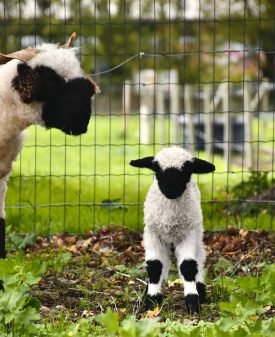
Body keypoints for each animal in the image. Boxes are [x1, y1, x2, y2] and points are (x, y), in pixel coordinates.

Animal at [130, 146, 217, 314]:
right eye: (157, 168)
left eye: (187, 169)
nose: (170, 189)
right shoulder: (153, 234)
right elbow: (155, 266)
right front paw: (152, 301)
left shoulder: (187, 234)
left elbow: (188, 266)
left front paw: (192, 302)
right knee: (163, 263)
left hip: (197, 230)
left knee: (199, 258)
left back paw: (200, 289)